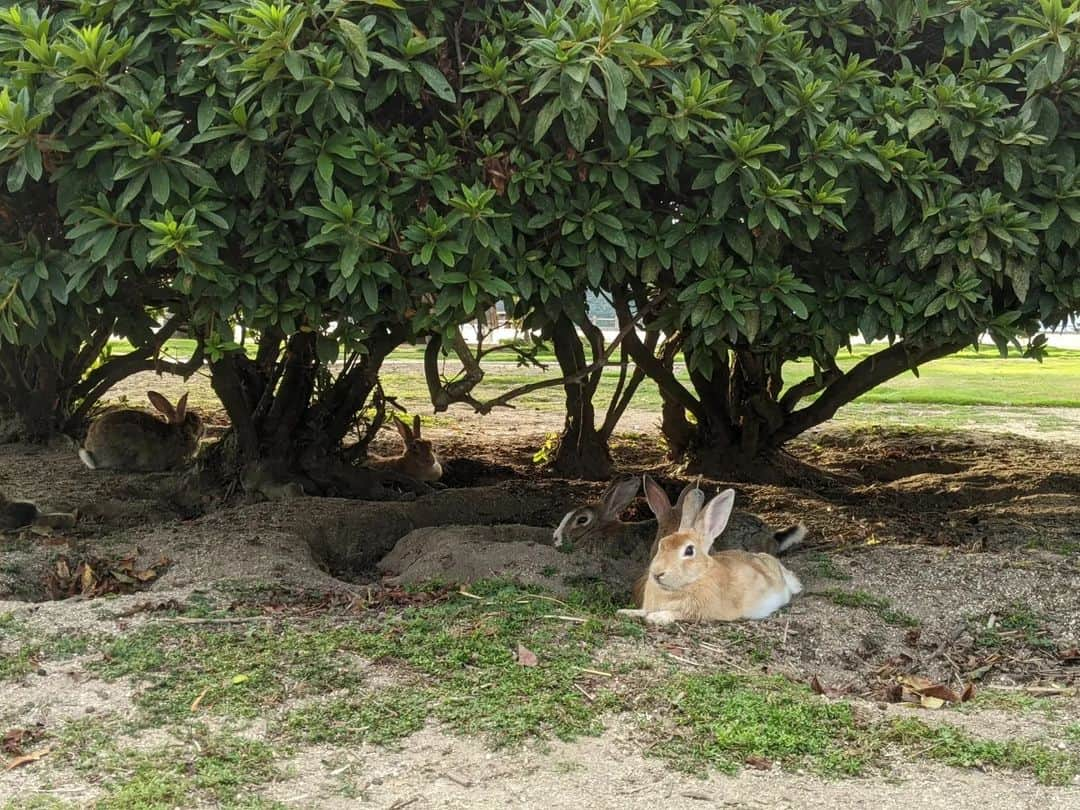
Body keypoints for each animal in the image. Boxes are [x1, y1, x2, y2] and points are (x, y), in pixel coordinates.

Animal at [617, 488, 803, 626]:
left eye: (689, 551)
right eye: (663, 543)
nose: (657, 574)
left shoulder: (700, 612)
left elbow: (677, 613)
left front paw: (657, 617)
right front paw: (625, 612)